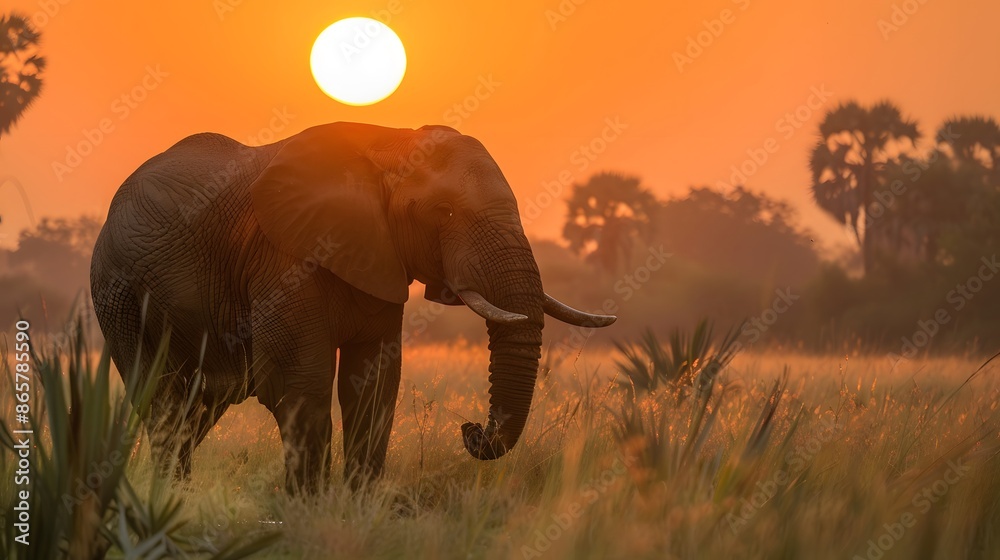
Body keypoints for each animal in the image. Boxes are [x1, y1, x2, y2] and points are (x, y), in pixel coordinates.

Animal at [90, 122, 616, 492]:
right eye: (444, 212)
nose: (470, 429)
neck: (390, 144)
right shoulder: (284, 258)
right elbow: (300, 382)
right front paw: (309, 511)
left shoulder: (379, 258)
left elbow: (374, 384)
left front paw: (356, 507)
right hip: (119, 295)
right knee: (161, 397)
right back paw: (167, 499)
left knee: (199, 408)